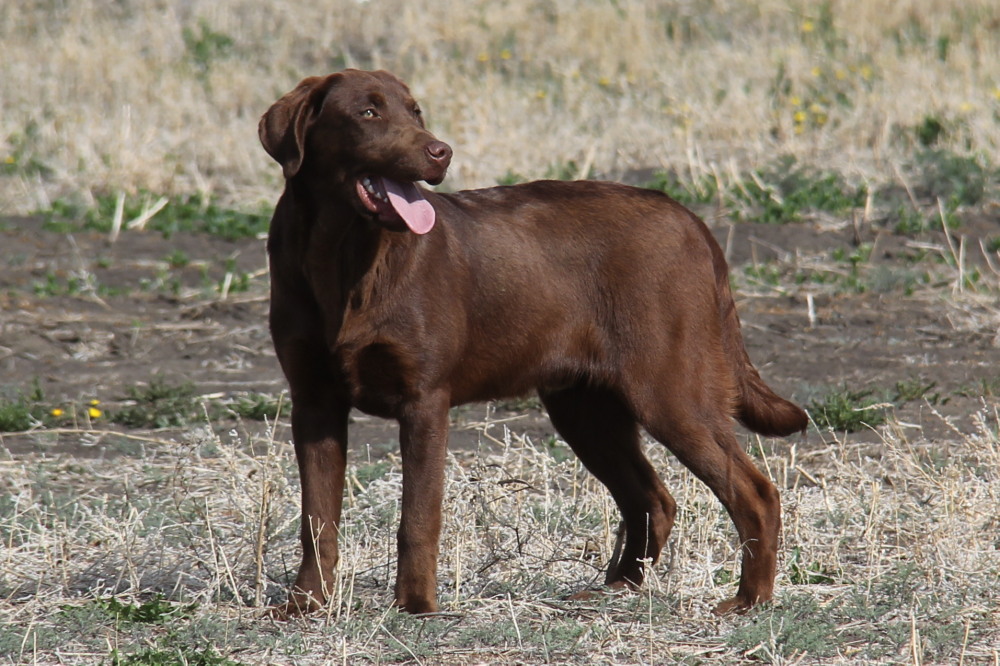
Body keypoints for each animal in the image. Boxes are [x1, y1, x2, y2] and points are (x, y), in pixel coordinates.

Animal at [258, 70, 804, 616]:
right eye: (368, 113)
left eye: (415, 112)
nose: (440, 152)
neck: (340, 253)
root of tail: (692, 221)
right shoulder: (314, 403)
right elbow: (317, 518)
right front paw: (306, 603)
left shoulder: (425, 400)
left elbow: (417, 516)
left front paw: (415, 607)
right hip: (586, 408)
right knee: (652, 498)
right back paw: (615, 589)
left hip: (670, 393)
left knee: (755, 493)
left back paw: (750, 600)